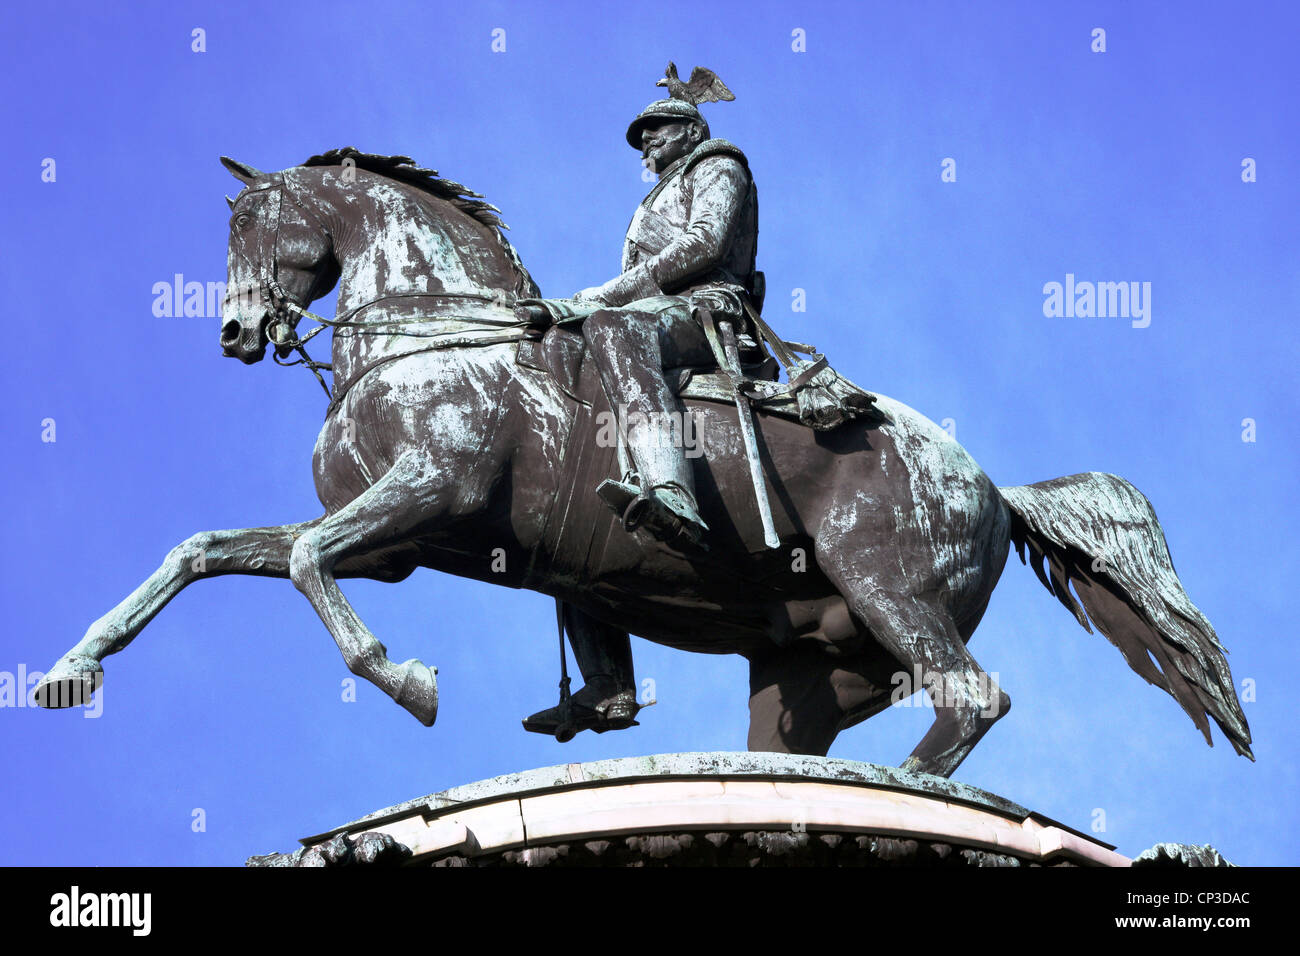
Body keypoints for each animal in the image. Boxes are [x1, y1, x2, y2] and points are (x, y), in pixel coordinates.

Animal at [32, 147, 1248, 780]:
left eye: (252, 222)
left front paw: (405, 677)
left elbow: (303, 568)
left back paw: (902, 786)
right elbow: (207, 551)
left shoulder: (421, 501)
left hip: (888, 589)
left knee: (974, 693)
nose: (237, 332)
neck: (439, 334)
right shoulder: (392, 541)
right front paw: (71, 666)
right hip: (811, 670)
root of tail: (993, 486)